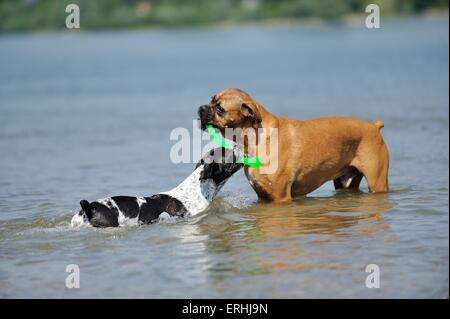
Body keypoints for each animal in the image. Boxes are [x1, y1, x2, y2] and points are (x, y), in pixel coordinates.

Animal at [199, 88, 388, 202]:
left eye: (220, 109)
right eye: (211, 100)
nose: (200, 108)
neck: (256, 138)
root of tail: (373, 126)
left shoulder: (280, 197)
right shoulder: (262, 195)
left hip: (377, 183)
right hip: (346, 182)